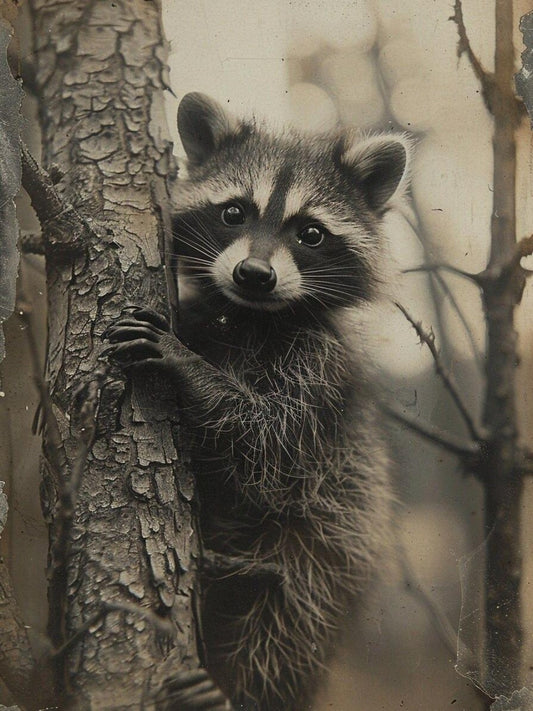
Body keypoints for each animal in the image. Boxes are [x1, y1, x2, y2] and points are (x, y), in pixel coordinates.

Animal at [104, 93, 410, 711]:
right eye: (233, 213)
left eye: (311, 233)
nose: (253, 274)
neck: (249, 316)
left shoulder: (319, 374)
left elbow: (264, 442)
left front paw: (188, 367)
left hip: (326, 554)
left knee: (286, 618)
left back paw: (235, 688)